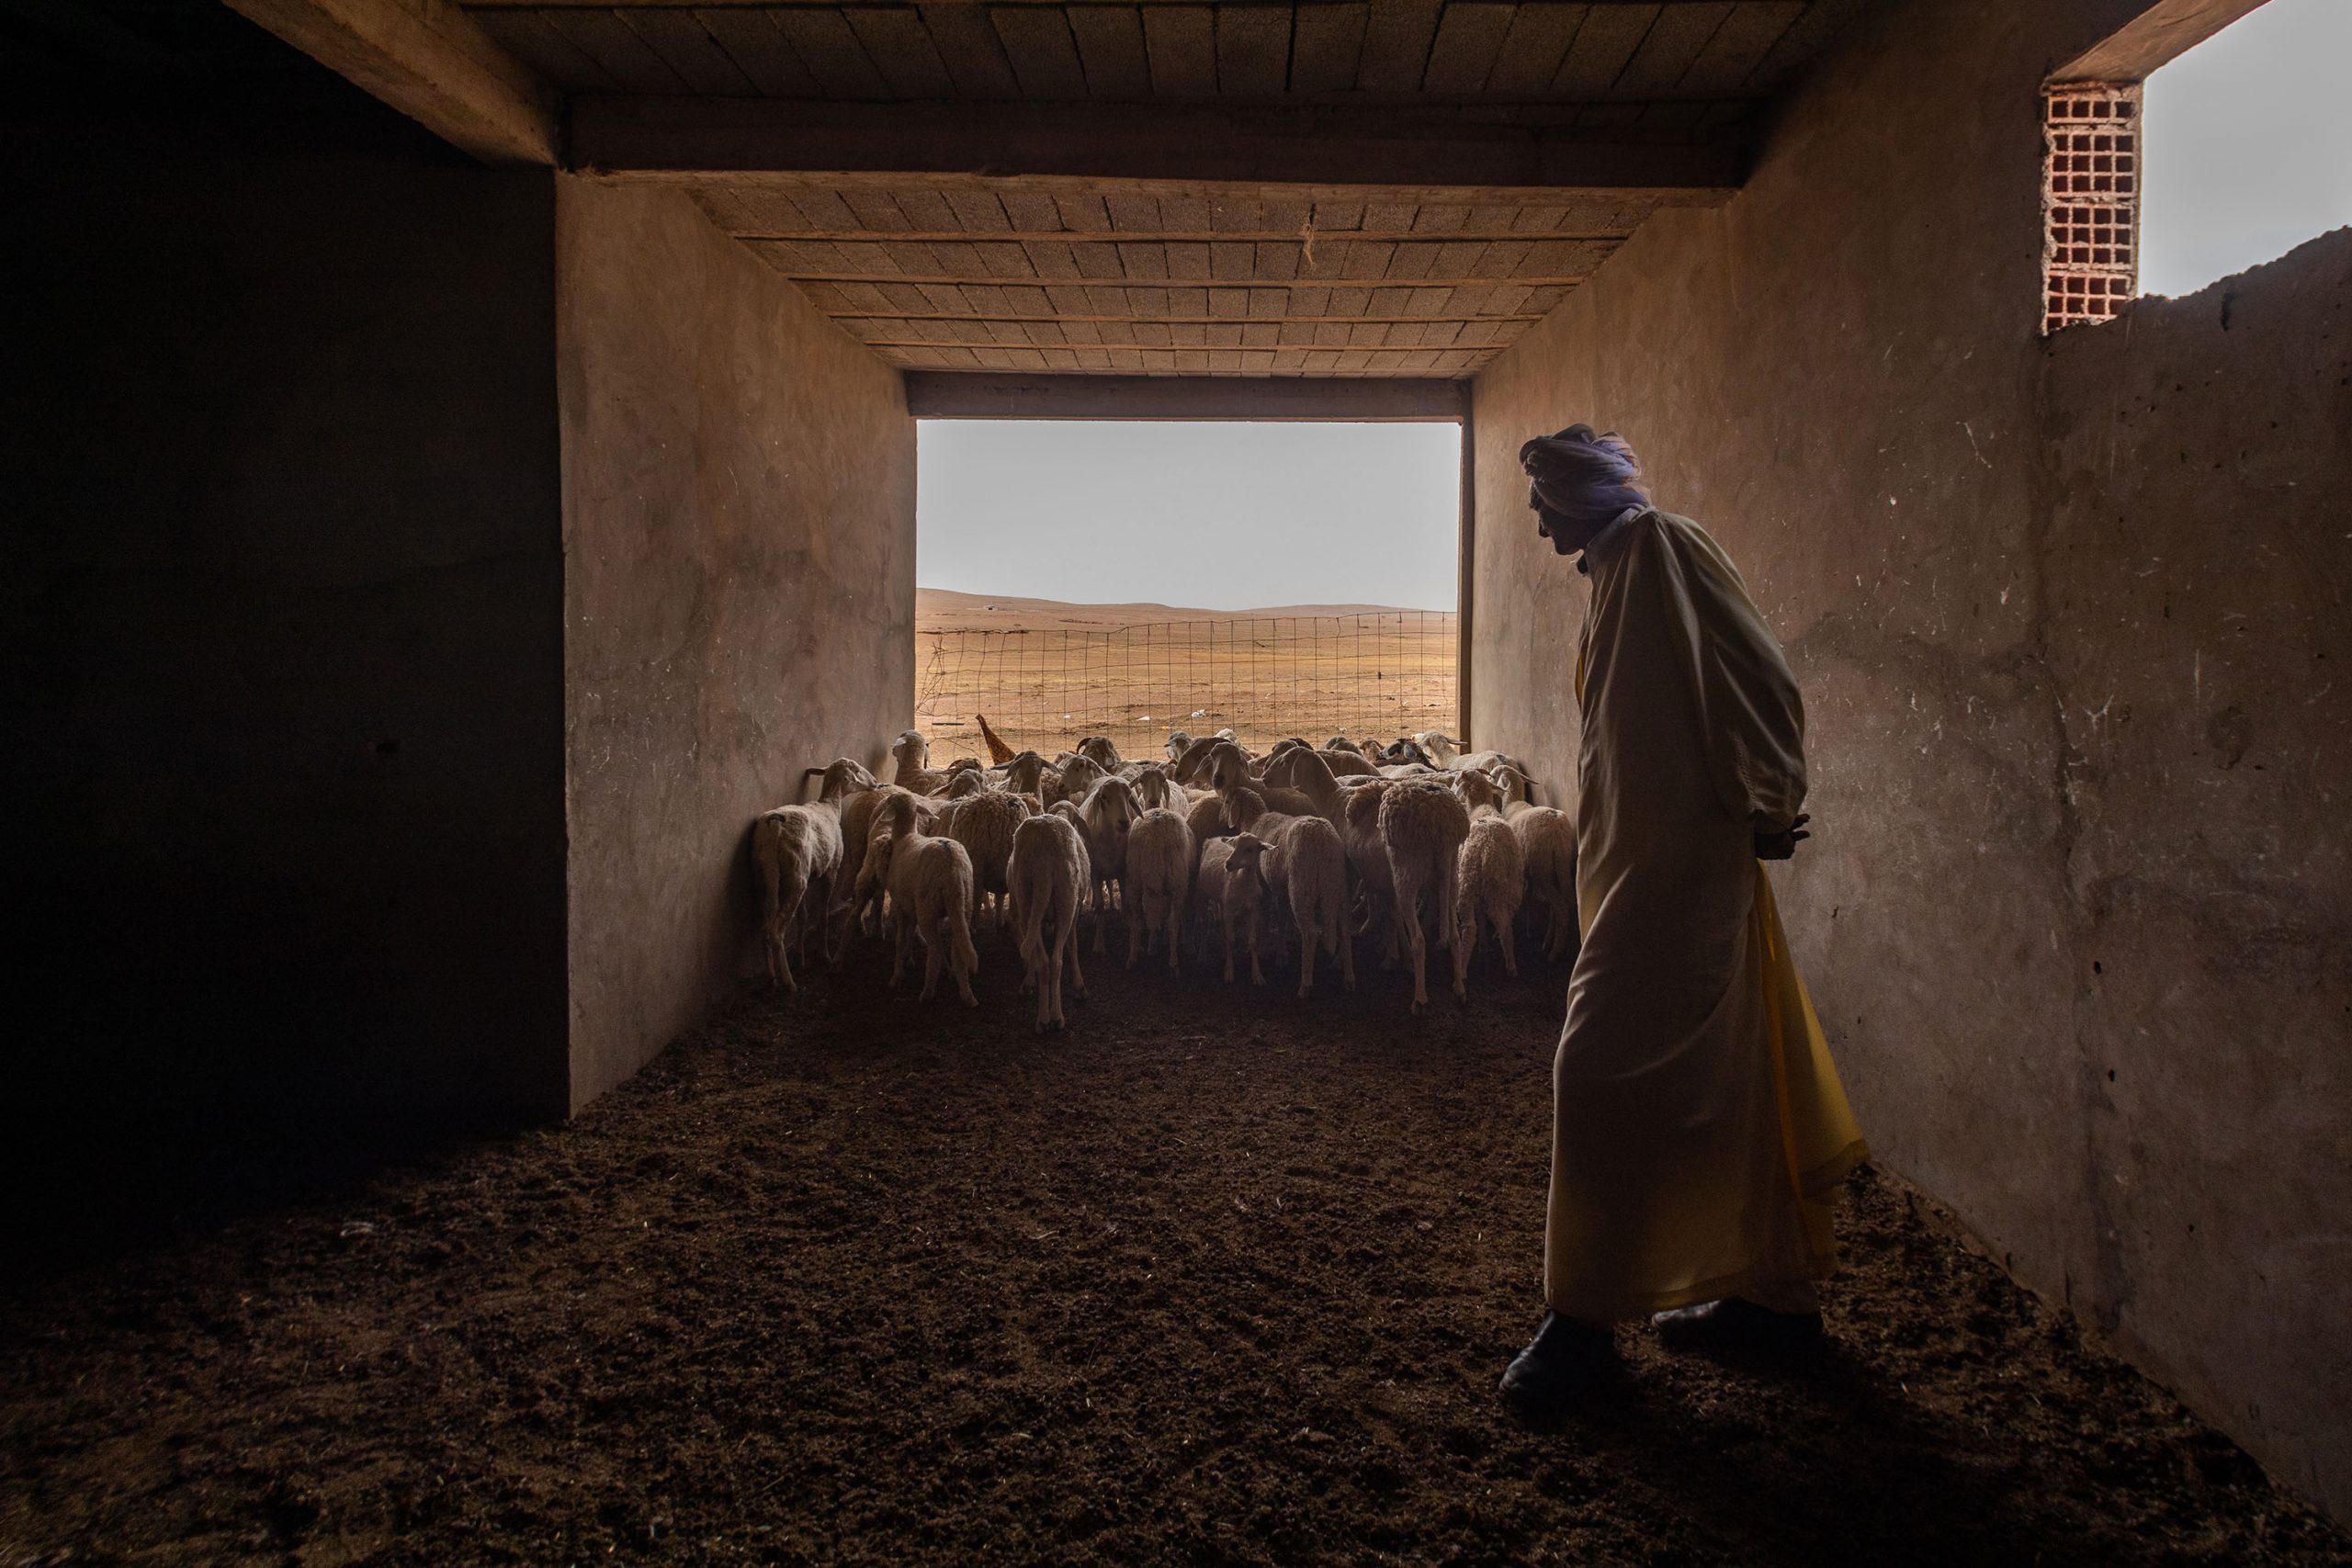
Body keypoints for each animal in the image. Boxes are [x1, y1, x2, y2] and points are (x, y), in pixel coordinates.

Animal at [870, 799, 978, 1006]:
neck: (904, 836)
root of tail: (950, 863)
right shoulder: (913, 906)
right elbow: (912, 933)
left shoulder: (900, 903)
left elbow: (900, 941)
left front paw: (897, 976)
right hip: (961, 903)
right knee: (958, 948)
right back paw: (967, 993)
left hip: (927, 906)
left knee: (934, 949)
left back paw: (927, 992)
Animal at [1001, 808, 1091, 1029]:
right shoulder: (1076, 909)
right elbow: (1072, 945)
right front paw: (1078, 984)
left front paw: (1028, 981)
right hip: (1067, 898)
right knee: (1056, 960)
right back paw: (1056, 1017)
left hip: (1027, 898)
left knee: (1044, 961)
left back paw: (1043, 1018)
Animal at [1119, 808, 1194, 968]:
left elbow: (1140, 921)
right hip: (1177, 882)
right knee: (1172, 922)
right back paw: (1173, 960)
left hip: (1137, 882)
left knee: (1145, 919)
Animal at [1374, 780, 1467, 1010]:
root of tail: (1443, 830)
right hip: (1452, 870)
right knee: (1455, 935)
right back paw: (1459, 989)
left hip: (1406, 873)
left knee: (1418, 940)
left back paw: (1420, 998)